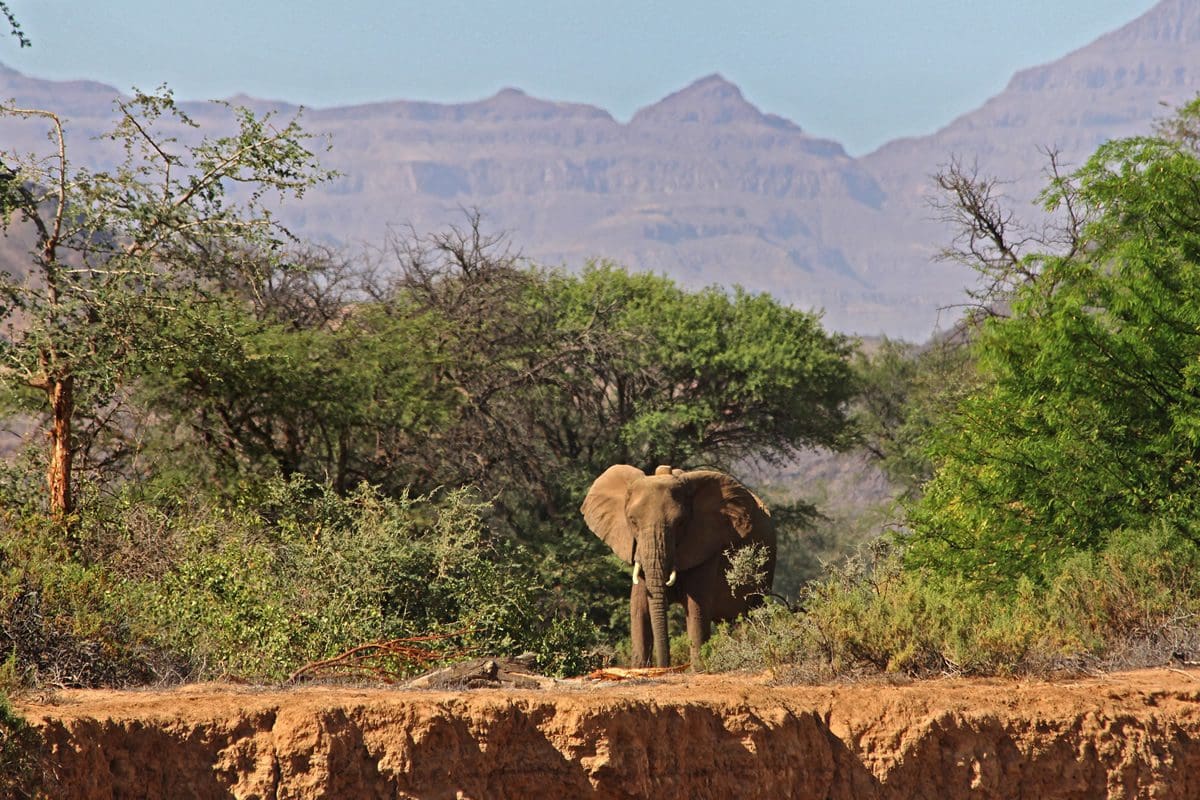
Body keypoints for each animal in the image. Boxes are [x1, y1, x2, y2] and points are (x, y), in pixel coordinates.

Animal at [581, 464, 776, 668]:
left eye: (680, 523)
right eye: (633, 521)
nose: (663, 666)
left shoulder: (705, 545)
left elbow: (696, 608)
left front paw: (698, 669)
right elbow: (639, 608)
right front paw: (640, 668)